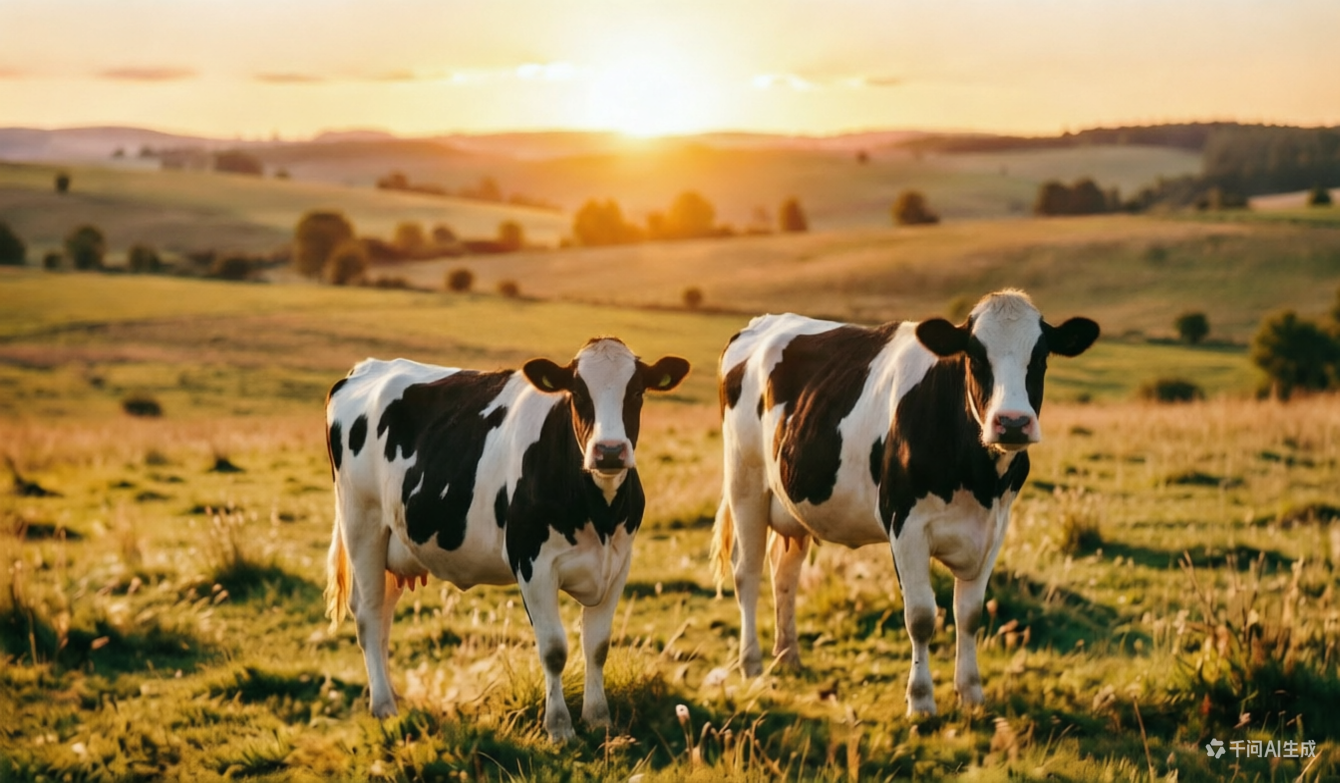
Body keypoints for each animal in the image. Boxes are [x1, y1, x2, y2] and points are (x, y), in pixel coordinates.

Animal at [323, 338, 690, 741]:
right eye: (578, 393)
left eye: (637, 391)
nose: (609, 451)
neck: (600, 515)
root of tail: (366, 367)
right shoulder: (533, 564)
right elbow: (554, 649)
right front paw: (559, 727)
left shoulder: (618, 564)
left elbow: (597, 646)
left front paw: (598, 719)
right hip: (362, 523)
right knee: (369, 615)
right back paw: (384, 707)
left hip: (393, 546)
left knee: (384, 617)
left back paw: (393, 698)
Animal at [710, 290, 1098, 715]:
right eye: (976, 357)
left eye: (1040, 357)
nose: (1012, 423)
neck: (978, 480)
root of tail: (761, 322)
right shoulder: (905, 524)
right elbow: (922, 616)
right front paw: (921, 701)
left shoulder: (994, 528)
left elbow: (970, 615)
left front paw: (971, 694)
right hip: (744, 481)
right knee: (748, 573)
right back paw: (752, 662)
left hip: (793, 502)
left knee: (784, 575)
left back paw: (788, 655)